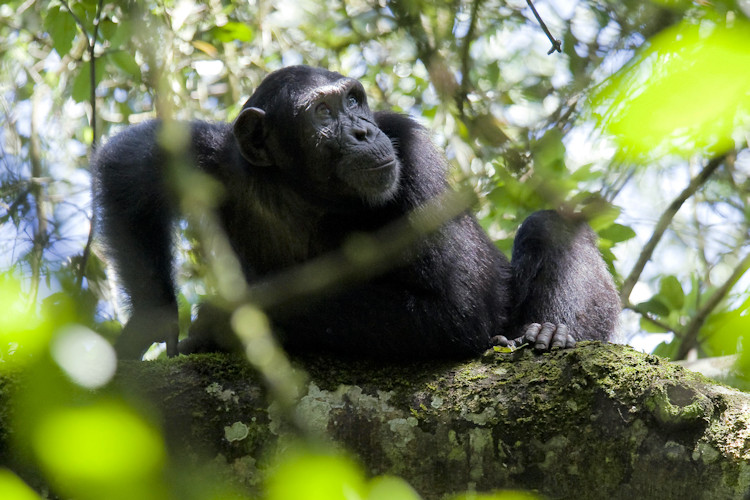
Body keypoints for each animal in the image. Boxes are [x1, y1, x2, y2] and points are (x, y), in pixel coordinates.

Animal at [92, 65, 624, 360]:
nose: (364, 131)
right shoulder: (213, 157)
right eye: (323, 113)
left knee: (548, 228)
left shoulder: (414, 157)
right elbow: (130, 168)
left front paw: (224, 320)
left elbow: (456, 308)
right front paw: (151, 322)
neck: (304, 193)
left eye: (353, 99)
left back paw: (549, 332)